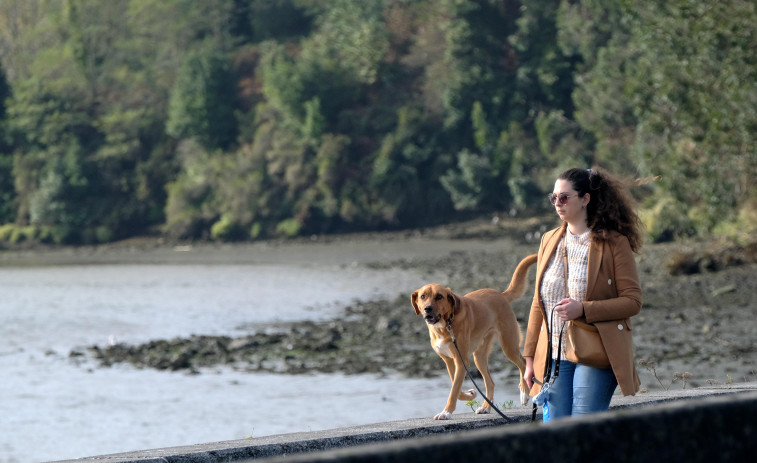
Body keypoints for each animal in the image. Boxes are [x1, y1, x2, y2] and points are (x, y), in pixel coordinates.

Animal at [408, 254, 536, 420]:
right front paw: (469, 394)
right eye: (423, 296)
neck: (446, 324)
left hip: (509, 345)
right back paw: (486, 407)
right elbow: (455, 387)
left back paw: (524, 393)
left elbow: (454, 389)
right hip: (479, 356)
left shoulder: (461, 361)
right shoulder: (450, 361)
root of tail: (500, 295)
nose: (427, 308)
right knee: (490, 382)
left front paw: (446, 412)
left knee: (523, 363)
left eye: (439, 296)